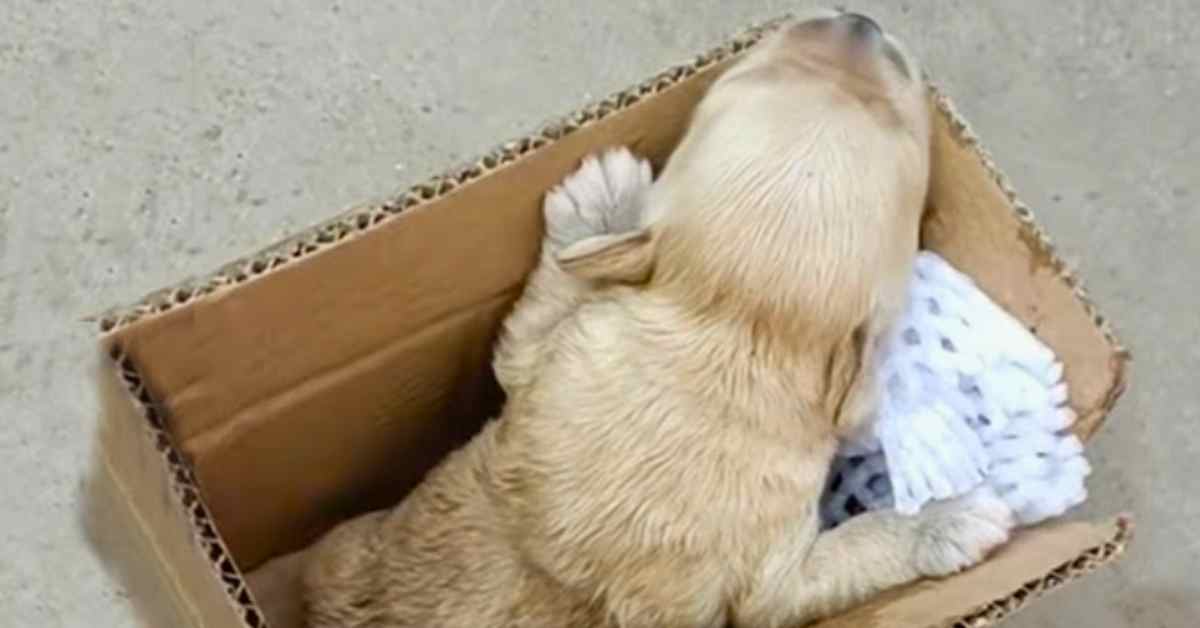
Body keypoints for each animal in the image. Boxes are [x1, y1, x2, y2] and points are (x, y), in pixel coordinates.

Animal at [300, 11, 1012, 628]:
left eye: (901, 126)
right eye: (750, 79)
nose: (858, 22)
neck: (733, 340)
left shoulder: (774, 583)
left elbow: (852, 551)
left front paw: (944, 518)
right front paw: (601, 205)